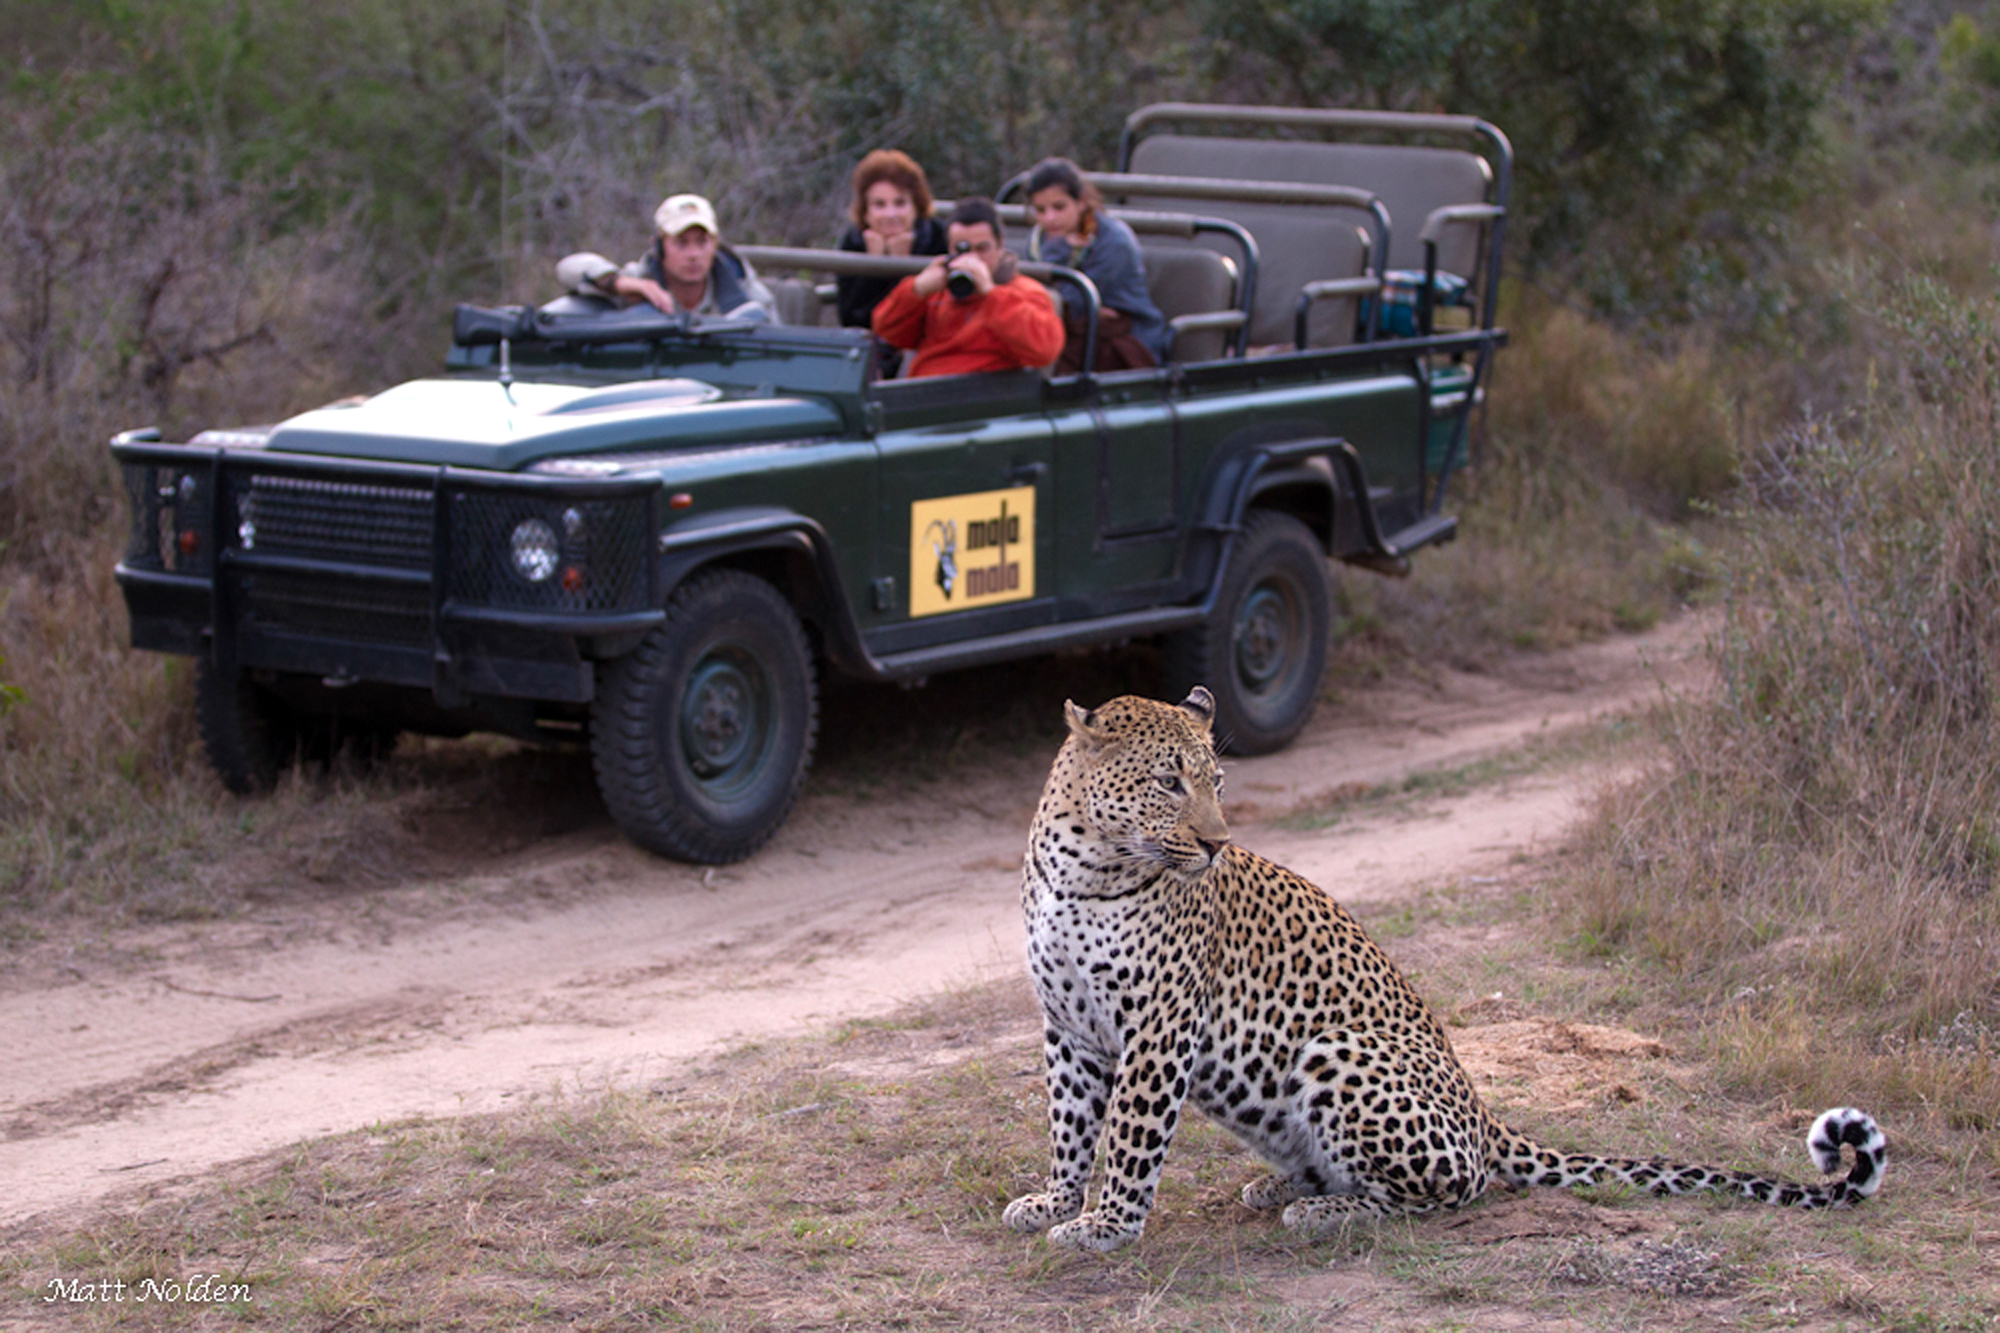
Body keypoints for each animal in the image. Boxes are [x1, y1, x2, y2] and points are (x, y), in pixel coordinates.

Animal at [1001, 687, 1887, 1254]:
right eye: (1167, 781)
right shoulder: (1068, 1028)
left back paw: (1328, 1214)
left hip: (1340, 1053)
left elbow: (1130, 1135)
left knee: (1452, 1188)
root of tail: (1484, 1113)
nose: (1217, 842)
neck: (1086, 871)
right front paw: (1054, 1200)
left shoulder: (1159, 1027)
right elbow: (1069, 1125)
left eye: (1216, 781)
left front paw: (1105, 1226)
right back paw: (1293, 1189)